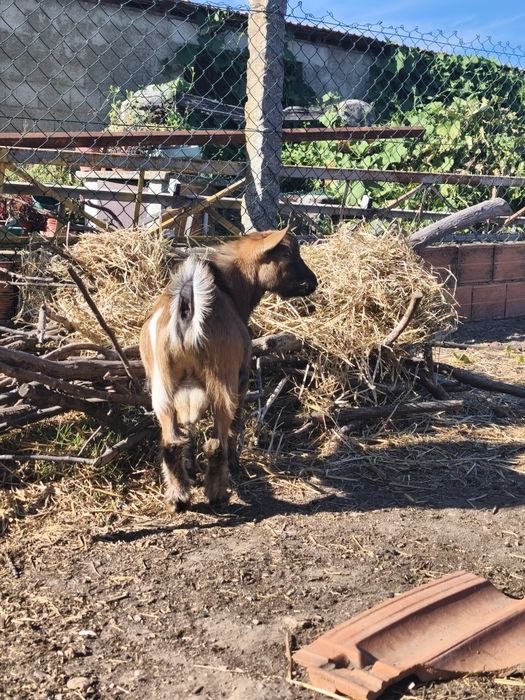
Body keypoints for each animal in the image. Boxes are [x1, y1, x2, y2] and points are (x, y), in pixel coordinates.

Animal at [139, 228, 317, 511]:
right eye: (289, 254)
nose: (313, 282)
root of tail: (187, 309)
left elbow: (189, 429)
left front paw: (192, 468)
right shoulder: (241, 377)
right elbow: (236, 424)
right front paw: (234, 463)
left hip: (162, 386)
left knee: (172, 441)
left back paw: (178, 497)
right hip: (222, 381)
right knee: (216, 442)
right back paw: (218, 493)